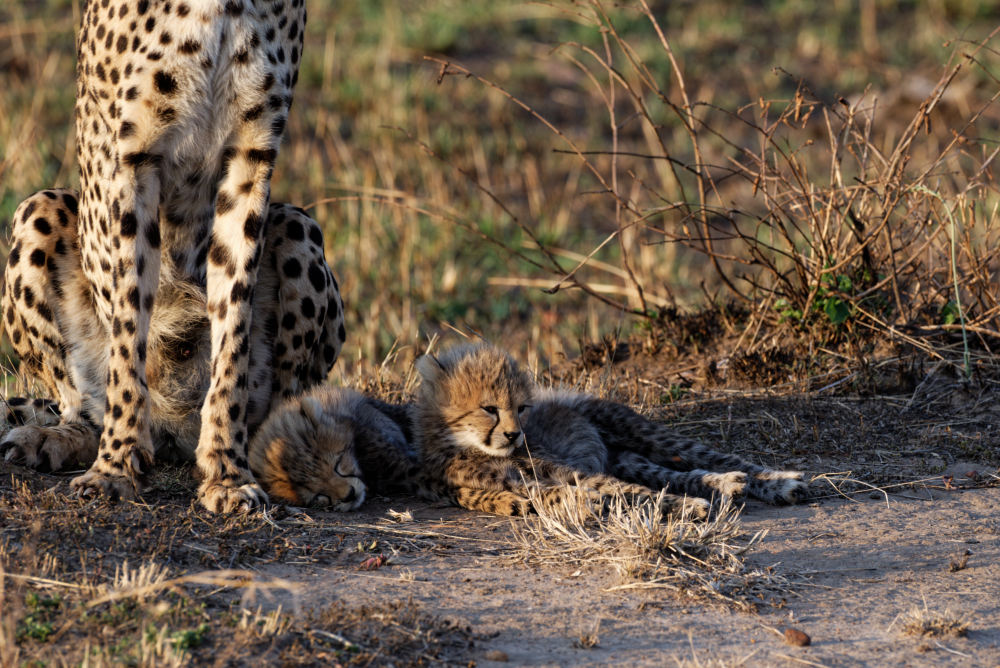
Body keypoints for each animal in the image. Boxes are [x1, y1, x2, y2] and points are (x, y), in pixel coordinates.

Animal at [14, 0, 312, 512]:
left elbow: (233, 329)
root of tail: (173, 431)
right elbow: (129, 328)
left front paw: (227, 471)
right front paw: (115, 466)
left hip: (298, 225)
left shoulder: (251, 156)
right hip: (37, 209)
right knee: (77, 404)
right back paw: (57, 439)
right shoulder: (133, 160)